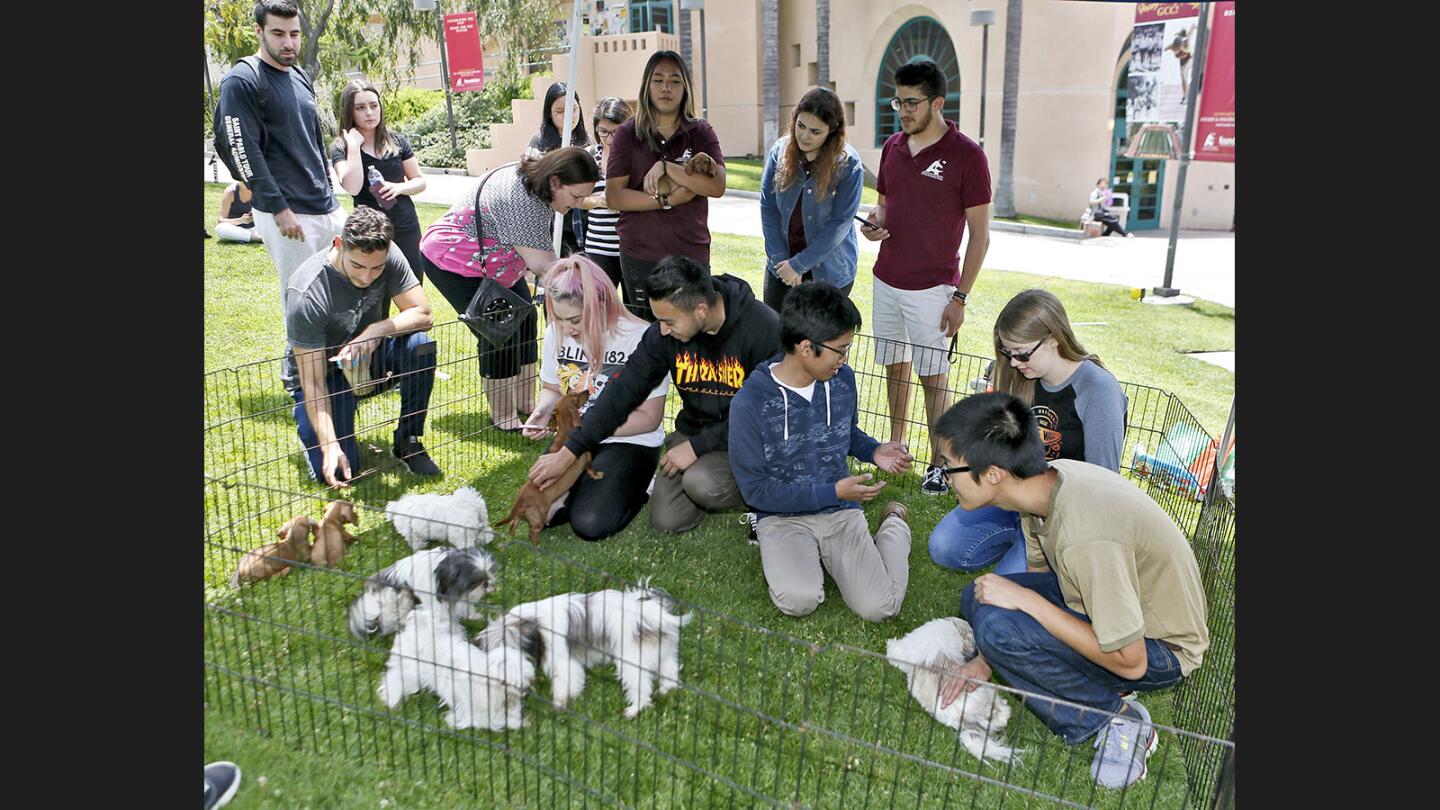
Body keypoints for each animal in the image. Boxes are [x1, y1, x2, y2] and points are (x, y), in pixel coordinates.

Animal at [377, 593, 541, 732]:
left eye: (527, 679)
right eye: (509, 683)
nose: (525, 689)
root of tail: (421, 626)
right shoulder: (474, 714)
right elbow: (494, 720)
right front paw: (518, 722)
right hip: (409, 669)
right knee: (394, 679)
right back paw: (391, 699)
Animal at [475, 576, 694, 714]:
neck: (533, 624)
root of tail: (650, 611)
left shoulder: (561, 660)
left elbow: (563, 682)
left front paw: (558, 704)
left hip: (632, 658)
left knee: (640, 686)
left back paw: (634, 710)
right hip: (663, 650)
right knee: (669, 671)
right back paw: (666, 689)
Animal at [498, 386, 604, 541]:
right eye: (575, 396)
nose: (587, 391)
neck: (565, 432)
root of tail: (520, 501)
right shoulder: (587, 459)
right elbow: (591, 469)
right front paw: (598, 475)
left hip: (521, 517)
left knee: (513, 523)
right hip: (539, 518)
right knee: (532, 532)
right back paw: (536, 545)